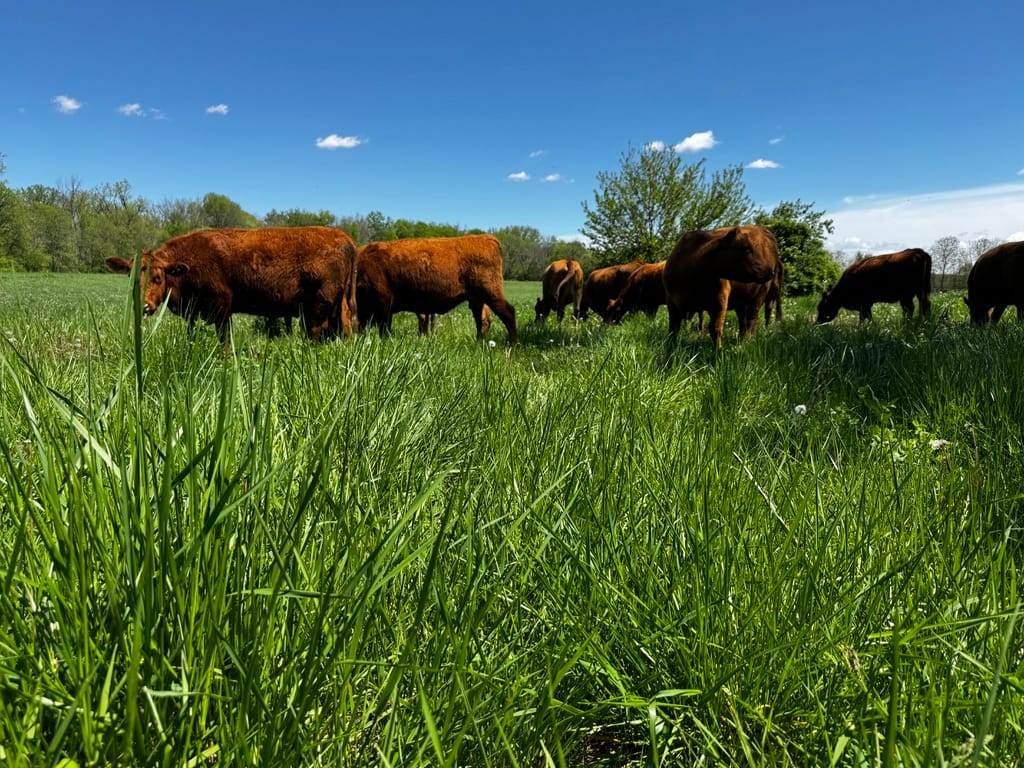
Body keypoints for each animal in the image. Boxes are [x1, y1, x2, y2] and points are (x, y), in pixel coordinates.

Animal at [105, 226, 358, 344]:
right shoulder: (195, 313)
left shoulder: (221, 309)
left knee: (316, 336)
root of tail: (344, 237)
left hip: (317, 310)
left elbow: (225, 342)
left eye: (157, 278)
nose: (144, 306)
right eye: (130, 279)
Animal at [356, 234, 518, 343]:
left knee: (508, 313)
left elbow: (385, 327)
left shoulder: (384, 305)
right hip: (478, 299)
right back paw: (478, 344)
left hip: (491, 293)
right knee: (483, 321)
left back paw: (513, 345)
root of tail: (486, 238)